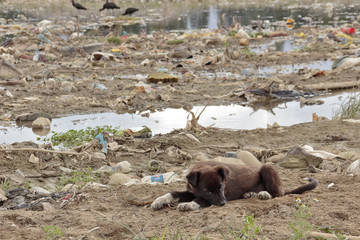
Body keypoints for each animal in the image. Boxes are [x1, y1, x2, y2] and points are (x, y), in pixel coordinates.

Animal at [151, 161, 318, 210]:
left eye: (221, 187)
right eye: (207, 190)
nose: (223, 203)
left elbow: (200, 201)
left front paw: (188, 205)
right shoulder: (192, 191)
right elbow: (173, 193)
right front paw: (158, 201)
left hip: (267, 167)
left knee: (278, 194)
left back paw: (264, 194)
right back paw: (250, 194)